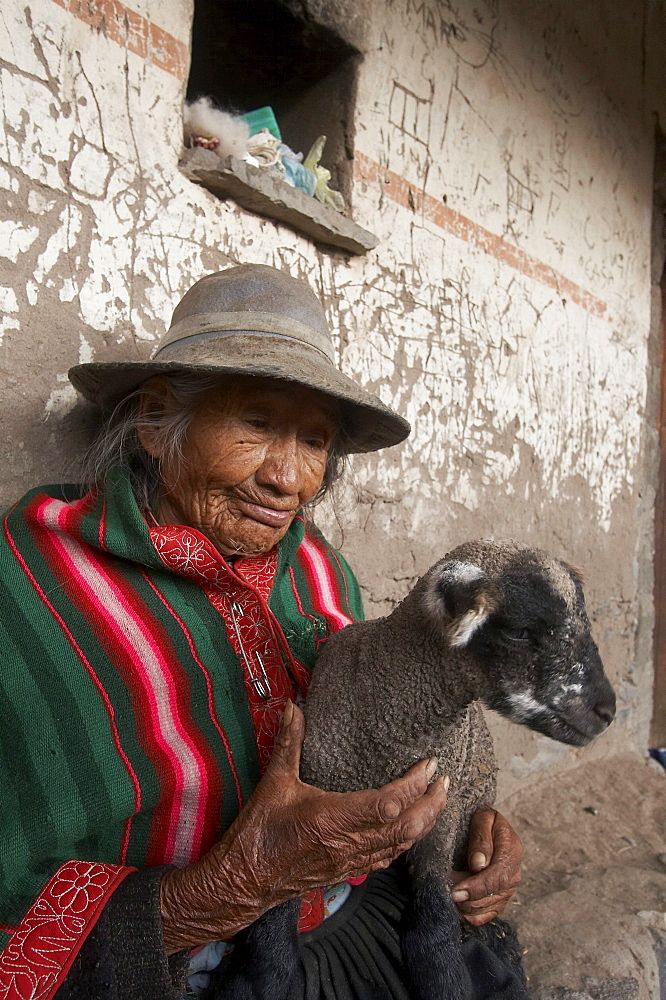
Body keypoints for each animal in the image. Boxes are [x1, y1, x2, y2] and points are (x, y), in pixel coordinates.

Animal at [211, 540, 612, 1000]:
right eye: (519, 631)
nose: (607, 711)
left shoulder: (442, 805)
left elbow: (433, 922)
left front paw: (447, 979)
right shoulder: (306, 807)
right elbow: (274, 923)